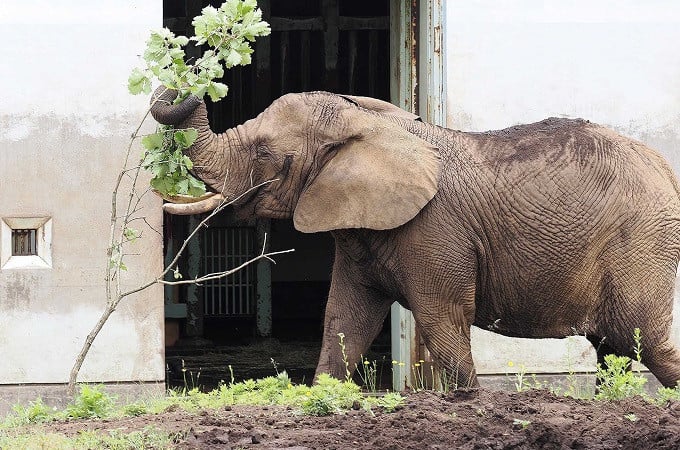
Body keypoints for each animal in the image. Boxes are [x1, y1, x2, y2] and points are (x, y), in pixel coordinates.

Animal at [149, 87, 680, 386]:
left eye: (264, 152)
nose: (183, 81)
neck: (366, 124)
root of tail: (666, 170)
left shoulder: (435, 230)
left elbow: (443, 322)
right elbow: (344, 320)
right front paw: (324, 396)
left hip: (642, 240)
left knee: (643, 341)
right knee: (616, 348)